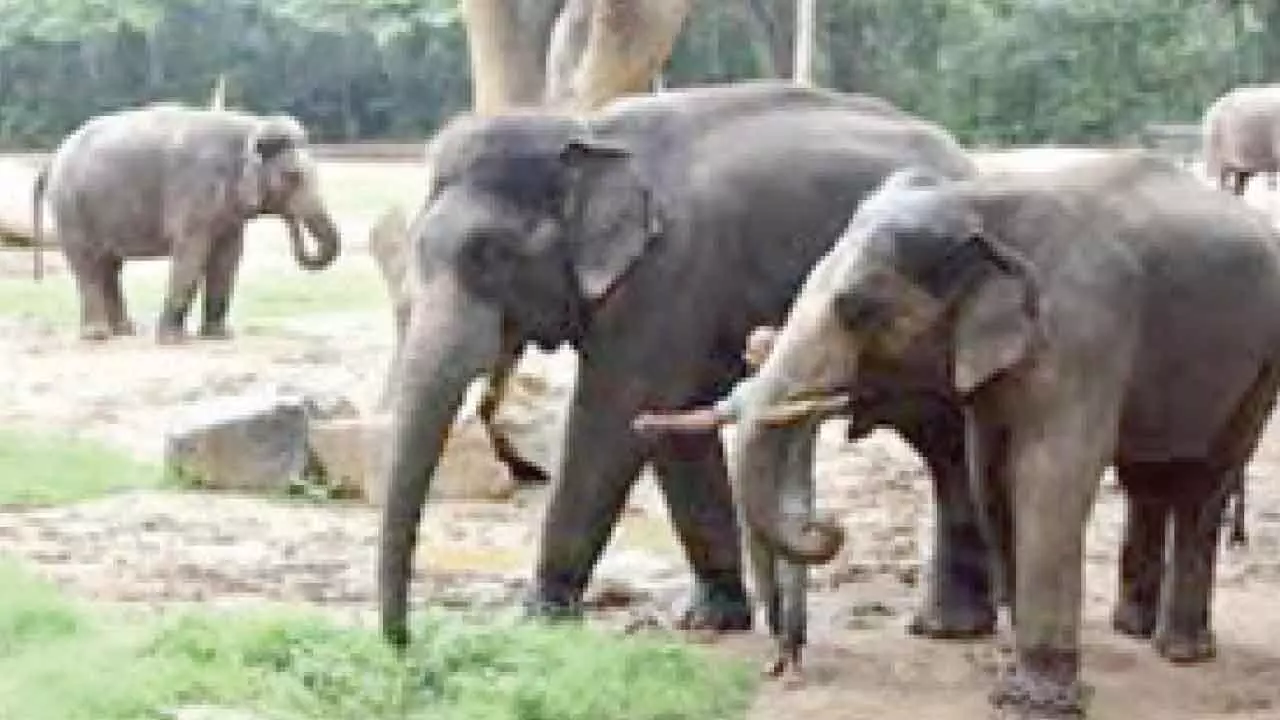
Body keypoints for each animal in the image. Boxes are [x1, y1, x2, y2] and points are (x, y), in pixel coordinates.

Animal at [34, 105, 341, 343]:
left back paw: (124, 332)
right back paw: (98, 336)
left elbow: (228, 257)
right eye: (292, 177)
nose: (292, 219)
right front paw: (171, 340)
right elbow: (192, 254)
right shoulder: (196, 191)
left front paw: (219, 336)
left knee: (108, 265)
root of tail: (51, 159)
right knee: (88, 264)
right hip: (70, 209)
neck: (252, 126)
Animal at [377, 80, 985, 648]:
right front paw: (710, 621)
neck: (585, 132)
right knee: (944, 443)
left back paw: (956, 625)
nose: (403, 643)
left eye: (491, 255)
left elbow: (612, 420)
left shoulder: (667, 275)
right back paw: (949, 624)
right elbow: (671, 425)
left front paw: (538, 620)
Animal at [726, 154, 1280, 718]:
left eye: (857, 309)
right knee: (1147, 477)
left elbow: (1048, 476)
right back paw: (1135, 631)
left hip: (1263, 362)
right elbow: (989, 475)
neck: (978, 203)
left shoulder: (1085, 328)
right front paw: (1016, 674)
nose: (780, 667)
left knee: (1205, 481)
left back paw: (1181, 652)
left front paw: (1033, 701)